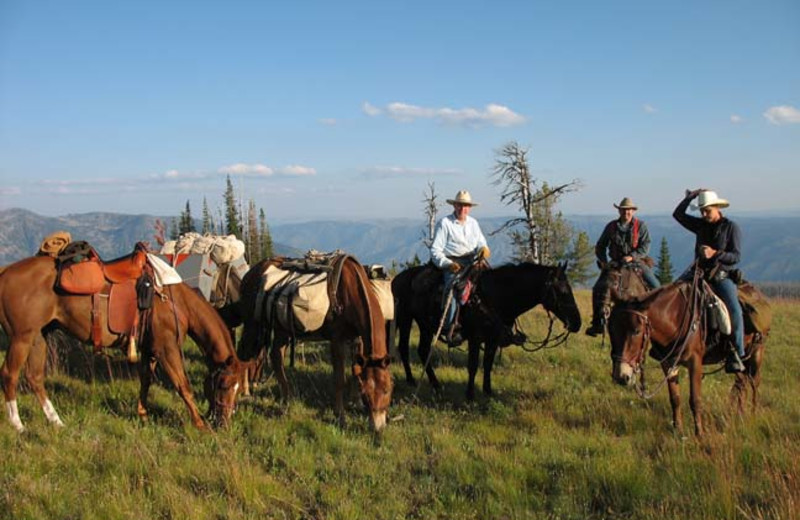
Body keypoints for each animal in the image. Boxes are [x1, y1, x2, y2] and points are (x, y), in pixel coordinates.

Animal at [0, 252, 250, 430]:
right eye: (224, 384)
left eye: (238, 389)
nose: (223, 424)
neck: (175, 301)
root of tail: (4, 274)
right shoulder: (166, 348)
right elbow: (183, 386)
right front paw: (198, 423)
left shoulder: (149, 349)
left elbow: (145, 382)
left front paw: (143, 415)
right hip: (21, 338)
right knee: (9, 375)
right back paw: (18, 425)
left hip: (38, 336)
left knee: (35, 378)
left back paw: (56, 421)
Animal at [228, 255, 394, 430]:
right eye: (367, 394)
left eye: (387, 389)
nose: (378, 427)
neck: (351, 291)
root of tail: (248, 275)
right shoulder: (337, 339)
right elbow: (339, 378)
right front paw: (340, 416)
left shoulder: (357, 340)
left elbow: (356, 371)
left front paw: (356, 403)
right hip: (252, 323)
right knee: (244, 352)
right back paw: (244, 392)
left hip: (281, 328)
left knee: (275, 356)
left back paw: (286, 400)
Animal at [390, 262, 580, 400]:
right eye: (562, 291)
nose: (577, 323)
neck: (493, 298)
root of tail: (397, 279)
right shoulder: (475, 338)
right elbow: (473, 366)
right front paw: (470, 395)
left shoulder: (493, 339)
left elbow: (488, 364)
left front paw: (488, 392)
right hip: (405, 319)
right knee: (404, 348)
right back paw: (412, 380)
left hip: (425, 326)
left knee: (422, 350)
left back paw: (435, 384)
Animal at [608, 266, 772, 436]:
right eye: (610, 330)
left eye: (636, 331)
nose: (621, 377)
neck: (676, 318)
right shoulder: (668, 363)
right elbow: (675, 398)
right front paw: (677, 430)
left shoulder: (695, 362)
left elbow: (695, 399)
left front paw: (699, 433)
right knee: (741, 382)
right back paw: (740, 414)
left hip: (757, 351)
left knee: (754, 381)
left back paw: (752, 413)